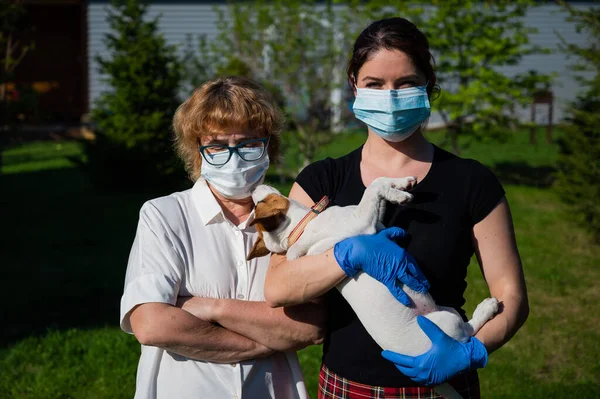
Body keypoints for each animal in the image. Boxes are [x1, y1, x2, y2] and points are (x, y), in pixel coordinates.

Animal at [246, 177, 500, 399]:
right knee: (467, 335)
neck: (298, 229)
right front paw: (400, 195)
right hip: (447, 324)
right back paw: (487, 309)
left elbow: (378, 187)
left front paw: (401, 183)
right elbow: (373, 187)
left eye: (257, 204)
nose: (253, 188)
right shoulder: (363, 224)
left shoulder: (377, 224)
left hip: (446, 310)